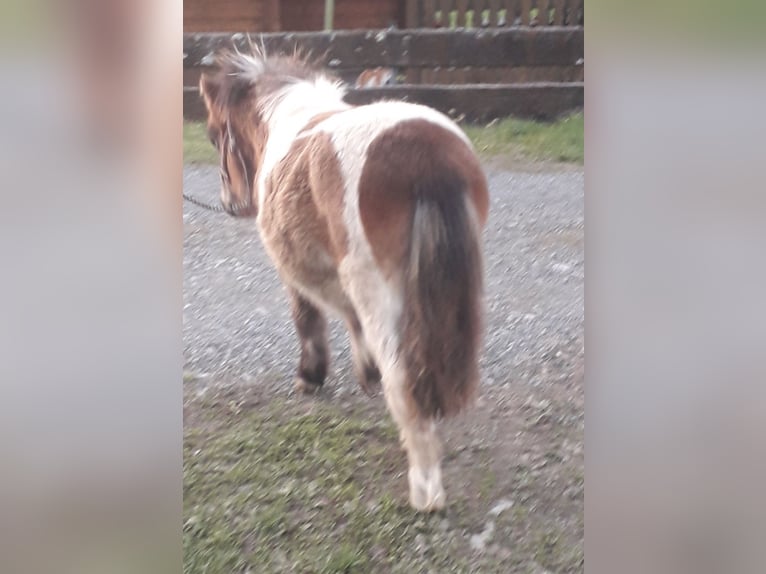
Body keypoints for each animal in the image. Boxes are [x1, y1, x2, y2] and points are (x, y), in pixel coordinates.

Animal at [200, 46, 492, 512]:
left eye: (214, 135)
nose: (231, 204)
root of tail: (424, 154)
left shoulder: (298, 271)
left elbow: (311, 318)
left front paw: (312, 376)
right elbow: (350, 320)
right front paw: (364, 371)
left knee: (403, 380)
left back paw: (425, 489)